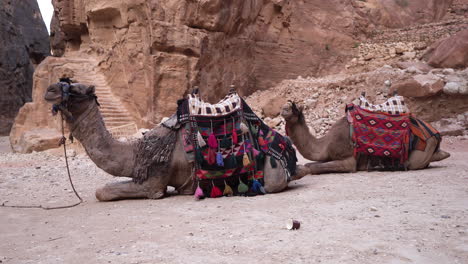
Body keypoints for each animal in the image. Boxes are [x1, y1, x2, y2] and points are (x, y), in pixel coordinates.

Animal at [44, 81, 308, 201]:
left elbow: (104, 191)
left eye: (75, 89)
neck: (137, 152)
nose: (50, 89)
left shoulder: (153, 183)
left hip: (272, 176)